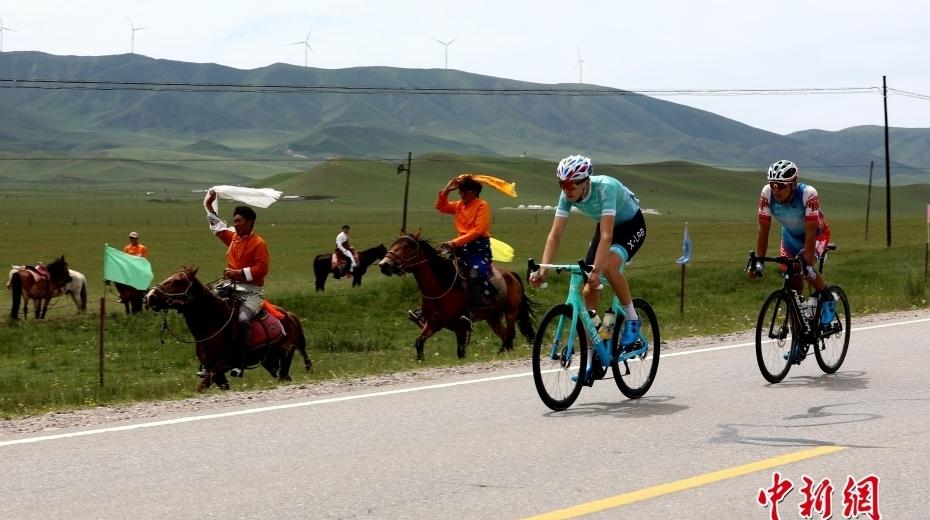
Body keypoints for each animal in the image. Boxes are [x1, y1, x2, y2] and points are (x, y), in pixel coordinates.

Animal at [145, 268, 310, 390]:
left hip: (285, 356)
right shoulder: (215, 373)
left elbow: (200, 387)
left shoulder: (220, 367)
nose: (150, 296)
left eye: (178, 281)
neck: (213, 324)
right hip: (270, 362)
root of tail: (289, 315)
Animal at [376, 235, 536, 362]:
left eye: (407, 247)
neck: (441, 287)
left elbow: (460, 352)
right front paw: (420, 360)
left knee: (510, 334)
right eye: (394, 245)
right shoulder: (433, 324)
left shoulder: (461, 326)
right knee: (505, 336)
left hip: (511, 311)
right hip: (492, 317)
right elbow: (419, 342)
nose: (384, 264)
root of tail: (511, 274)